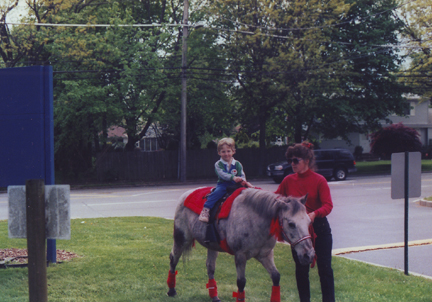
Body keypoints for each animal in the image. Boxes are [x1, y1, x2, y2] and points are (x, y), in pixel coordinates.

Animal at [166, 188, 314, 300]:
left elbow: (276, 276)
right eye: (291, 224)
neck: (255, 219)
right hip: (181, 239)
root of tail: (186, 194)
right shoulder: (240, 256)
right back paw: (172, 291)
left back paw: (214, 296)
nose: (309, 255)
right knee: (173, 259)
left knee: (210, 267)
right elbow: (241, 282)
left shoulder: (265, 255)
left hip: (212, 246)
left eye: (309, 222)